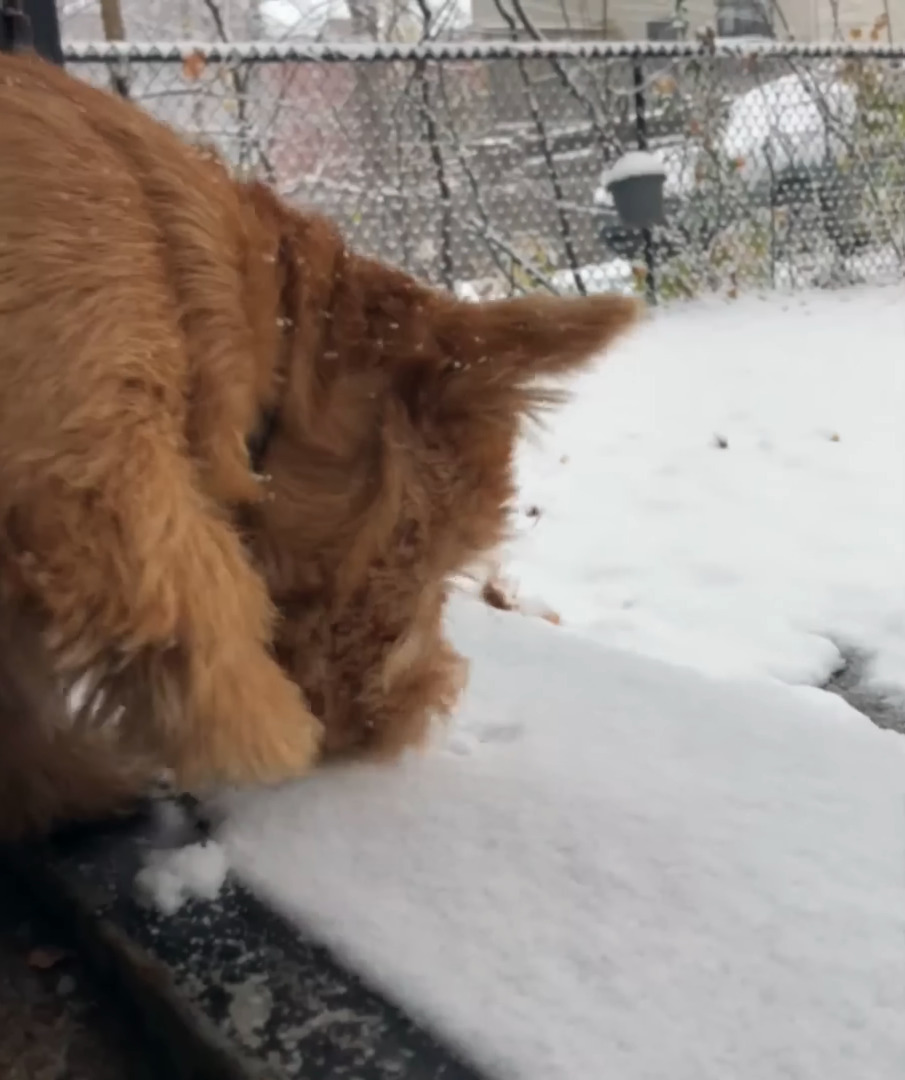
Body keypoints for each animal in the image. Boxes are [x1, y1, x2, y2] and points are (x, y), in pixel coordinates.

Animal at [0, 52, 639, 842]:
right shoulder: (98, 457)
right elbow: (205, 589)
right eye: (447, 554)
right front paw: (271, 731)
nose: (415, 718)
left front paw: (56, 788)